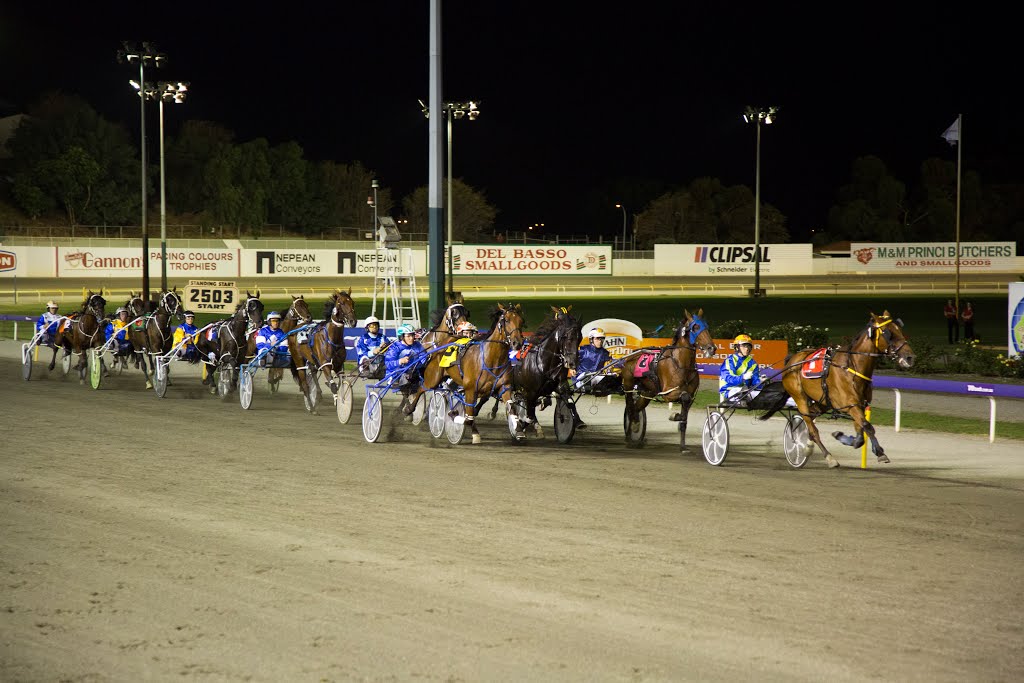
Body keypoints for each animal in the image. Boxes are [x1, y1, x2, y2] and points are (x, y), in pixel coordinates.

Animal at [401, 303, 524, 444]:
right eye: (507, 320)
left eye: (521, 321)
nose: (517, 343)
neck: (491, 359)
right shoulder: (470, 389)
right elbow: (468, 418)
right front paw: (453, 416)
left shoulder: (504, 387)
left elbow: (511, 407)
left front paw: (519, 429)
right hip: (433, 378)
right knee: (422, 388)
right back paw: (409, 409)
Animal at [489, 305, 581, 438]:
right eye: (565, 337)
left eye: (579, 338)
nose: (572, 362)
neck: (544, 362)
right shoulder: (530, 392)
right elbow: (528, 415)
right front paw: (521, 427)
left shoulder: (559, 385)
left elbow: (568, 401)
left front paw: (575, 420)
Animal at [618, 311, 716, 450]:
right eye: (695, 327)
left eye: (707, 327)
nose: (711, 348)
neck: (681, 363)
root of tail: (632, 354)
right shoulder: (668, 393)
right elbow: (684, 397)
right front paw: (674, 416)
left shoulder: (691, 396)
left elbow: (684, 418)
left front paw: (683, 446)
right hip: (628, 385)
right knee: (631, 407)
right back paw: (629, 437)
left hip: (649, 391)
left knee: (637, 408)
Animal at [765, 311, 917, 466]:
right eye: (888, 333)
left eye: (900, 329)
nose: (910, 357)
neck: (851, 367)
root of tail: (791, 360)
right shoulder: (850, 404)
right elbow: (867, 426)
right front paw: (880, 452)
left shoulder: (859, 405)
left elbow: (860, 435)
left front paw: (842, 436)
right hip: (799, 396)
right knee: (811, 427)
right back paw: (828, 457)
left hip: (822, 401)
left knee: (808, 418)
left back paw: (807, 445)